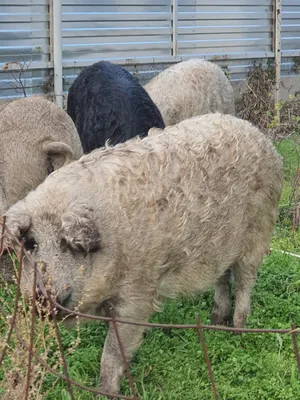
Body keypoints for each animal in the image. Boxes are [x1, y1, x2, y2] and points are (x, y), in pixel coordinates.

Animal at [5, 112, 284, 394]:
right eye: (30, 243)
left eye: (70, 245)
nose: (45, 295)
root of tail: (259, 136)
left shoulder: (138, 292)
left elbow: (113, 351)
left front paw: (107, 392)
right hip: (220, 248)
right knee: (223, 278)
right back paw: (216, 322)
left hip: (258, 233)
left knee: (245, 283)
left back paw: (237, 331)